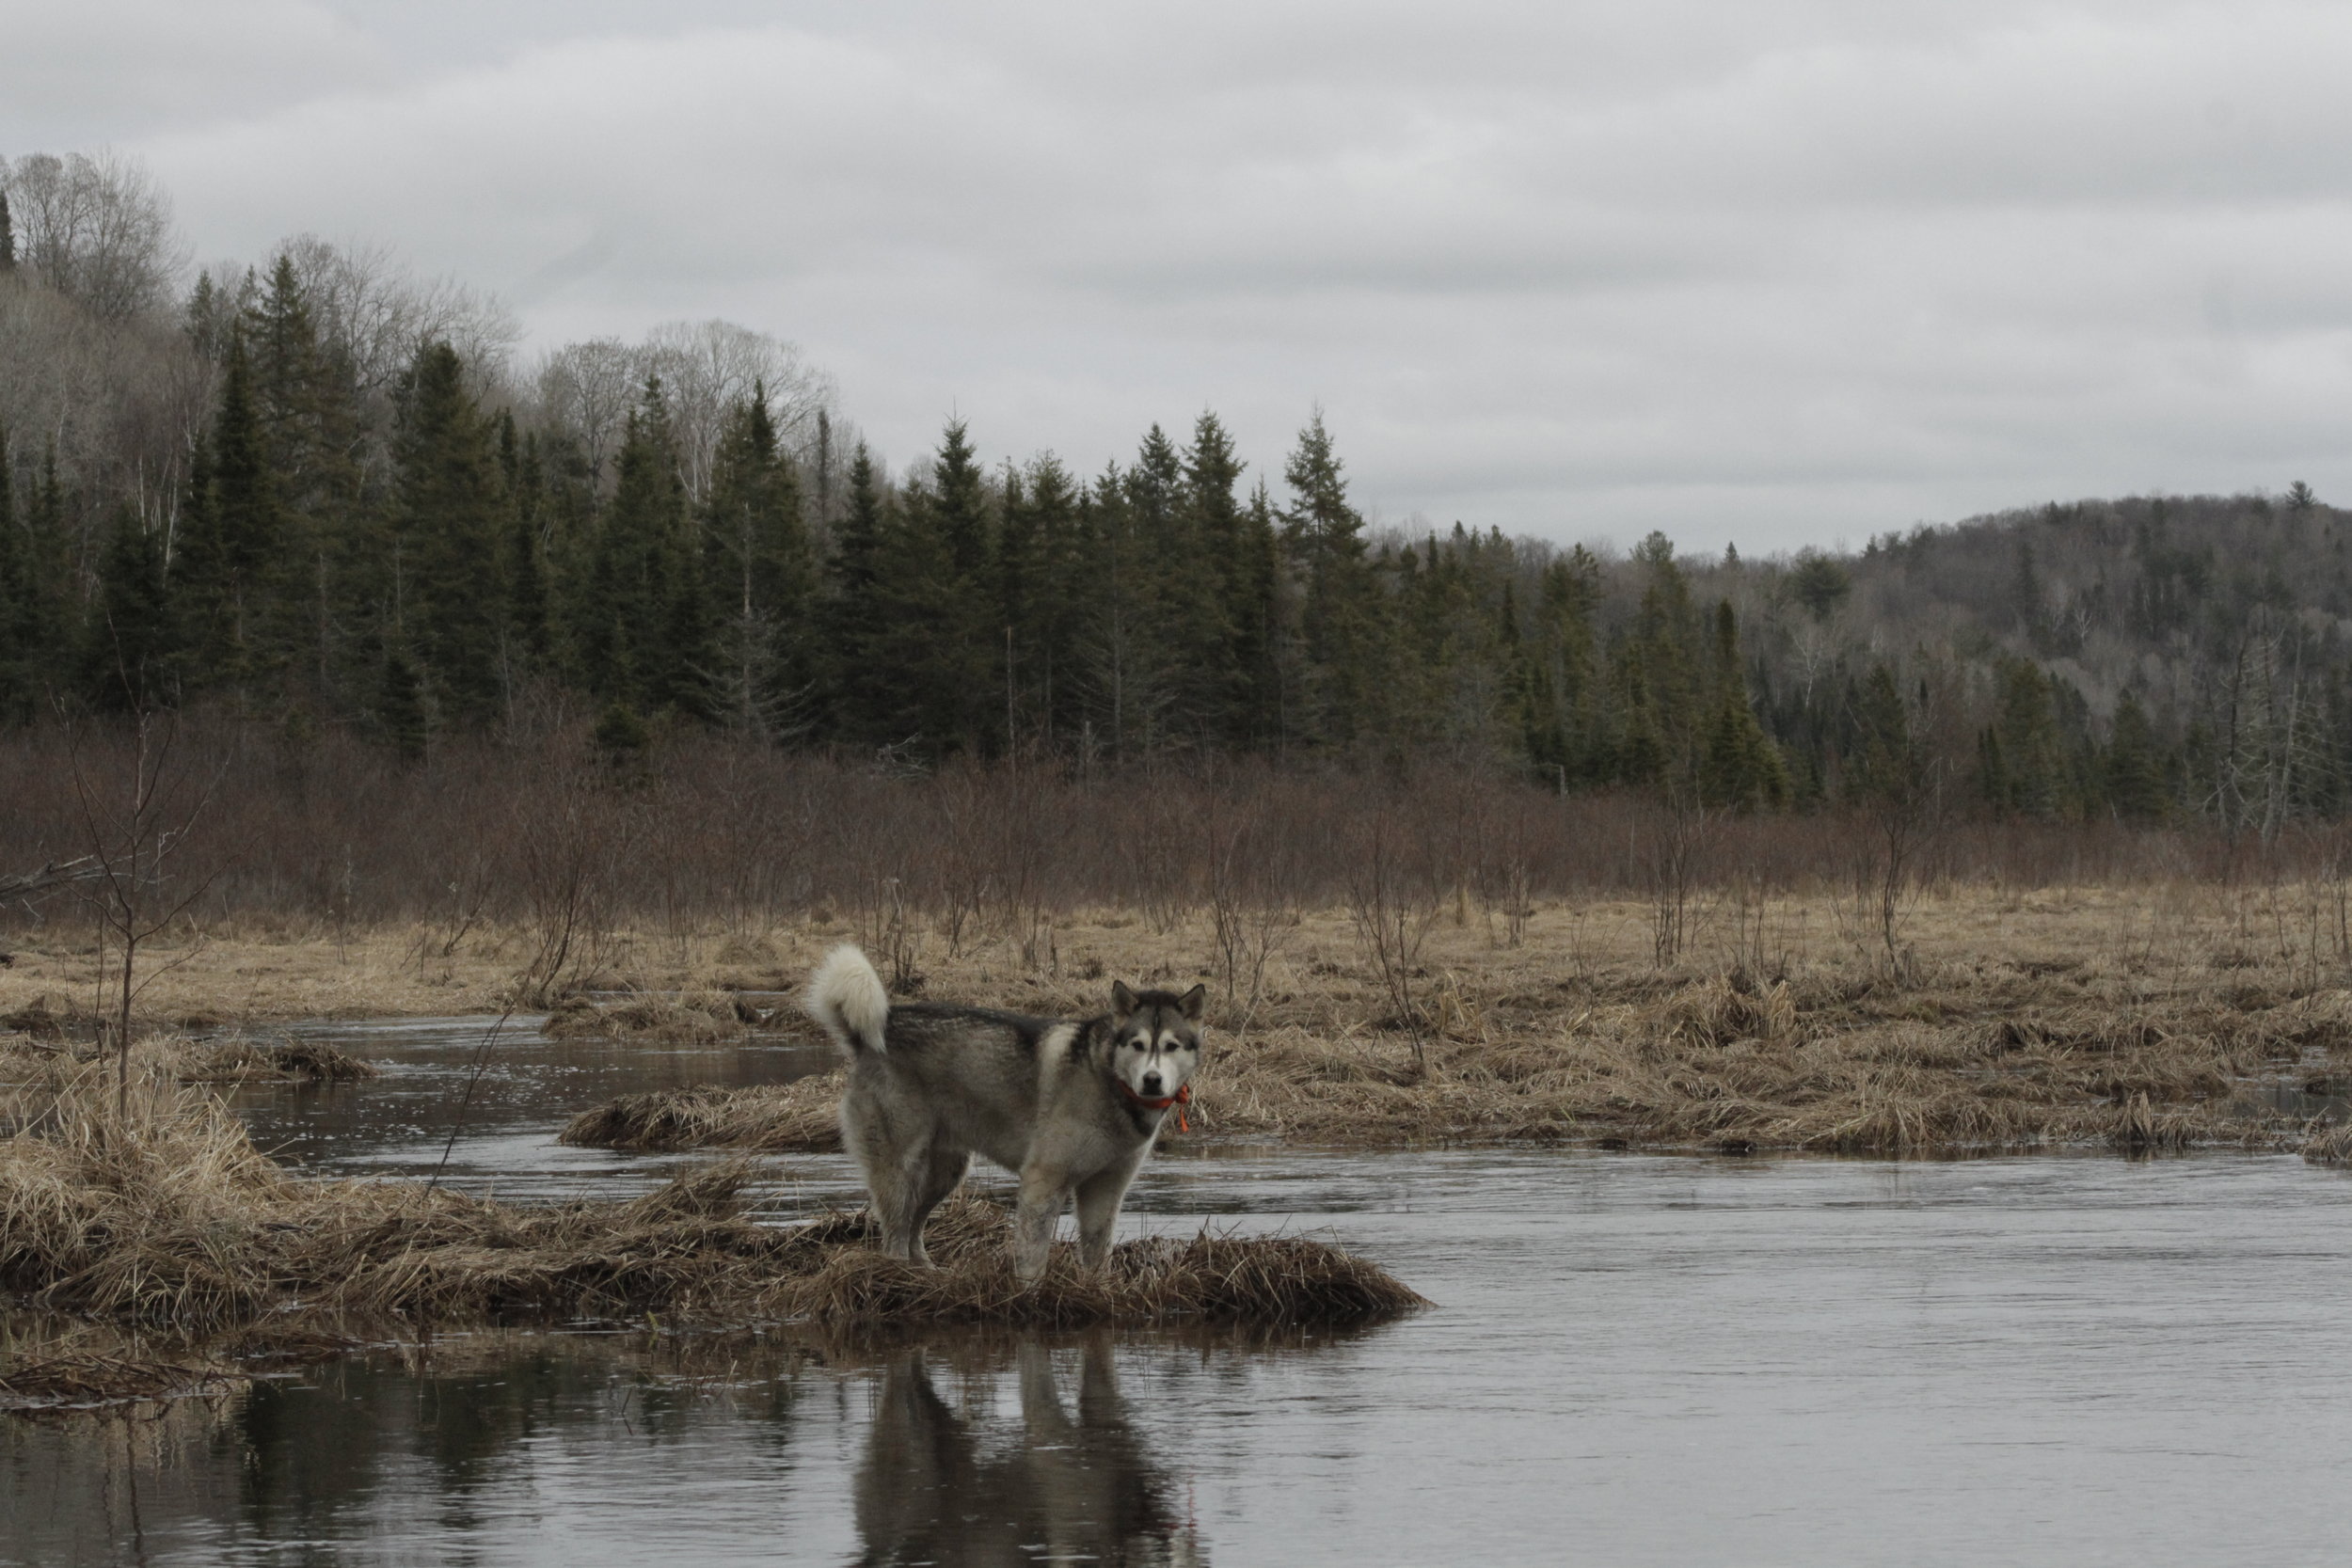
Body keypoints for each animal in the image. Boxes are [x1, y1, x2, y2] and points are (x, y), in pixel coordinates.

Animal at [809, 949, 1214, 1278]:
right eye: (1138, 1045)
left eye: (1171, 1046)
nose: (1152, 1080)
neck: (1108, 1079)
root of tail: (873, 1035)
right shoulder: (1043, 1181)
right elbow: (1033, 1258)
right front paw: (1030, 1297)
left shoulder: (1106, 1188)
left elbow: (1098, 1255)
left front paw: (1098, 1292)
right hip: (899, 1169)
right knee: (895, 1234)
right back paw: (899, 1279)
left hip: (945, 1173)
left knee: (913, 1227)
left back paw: (926, 1273)